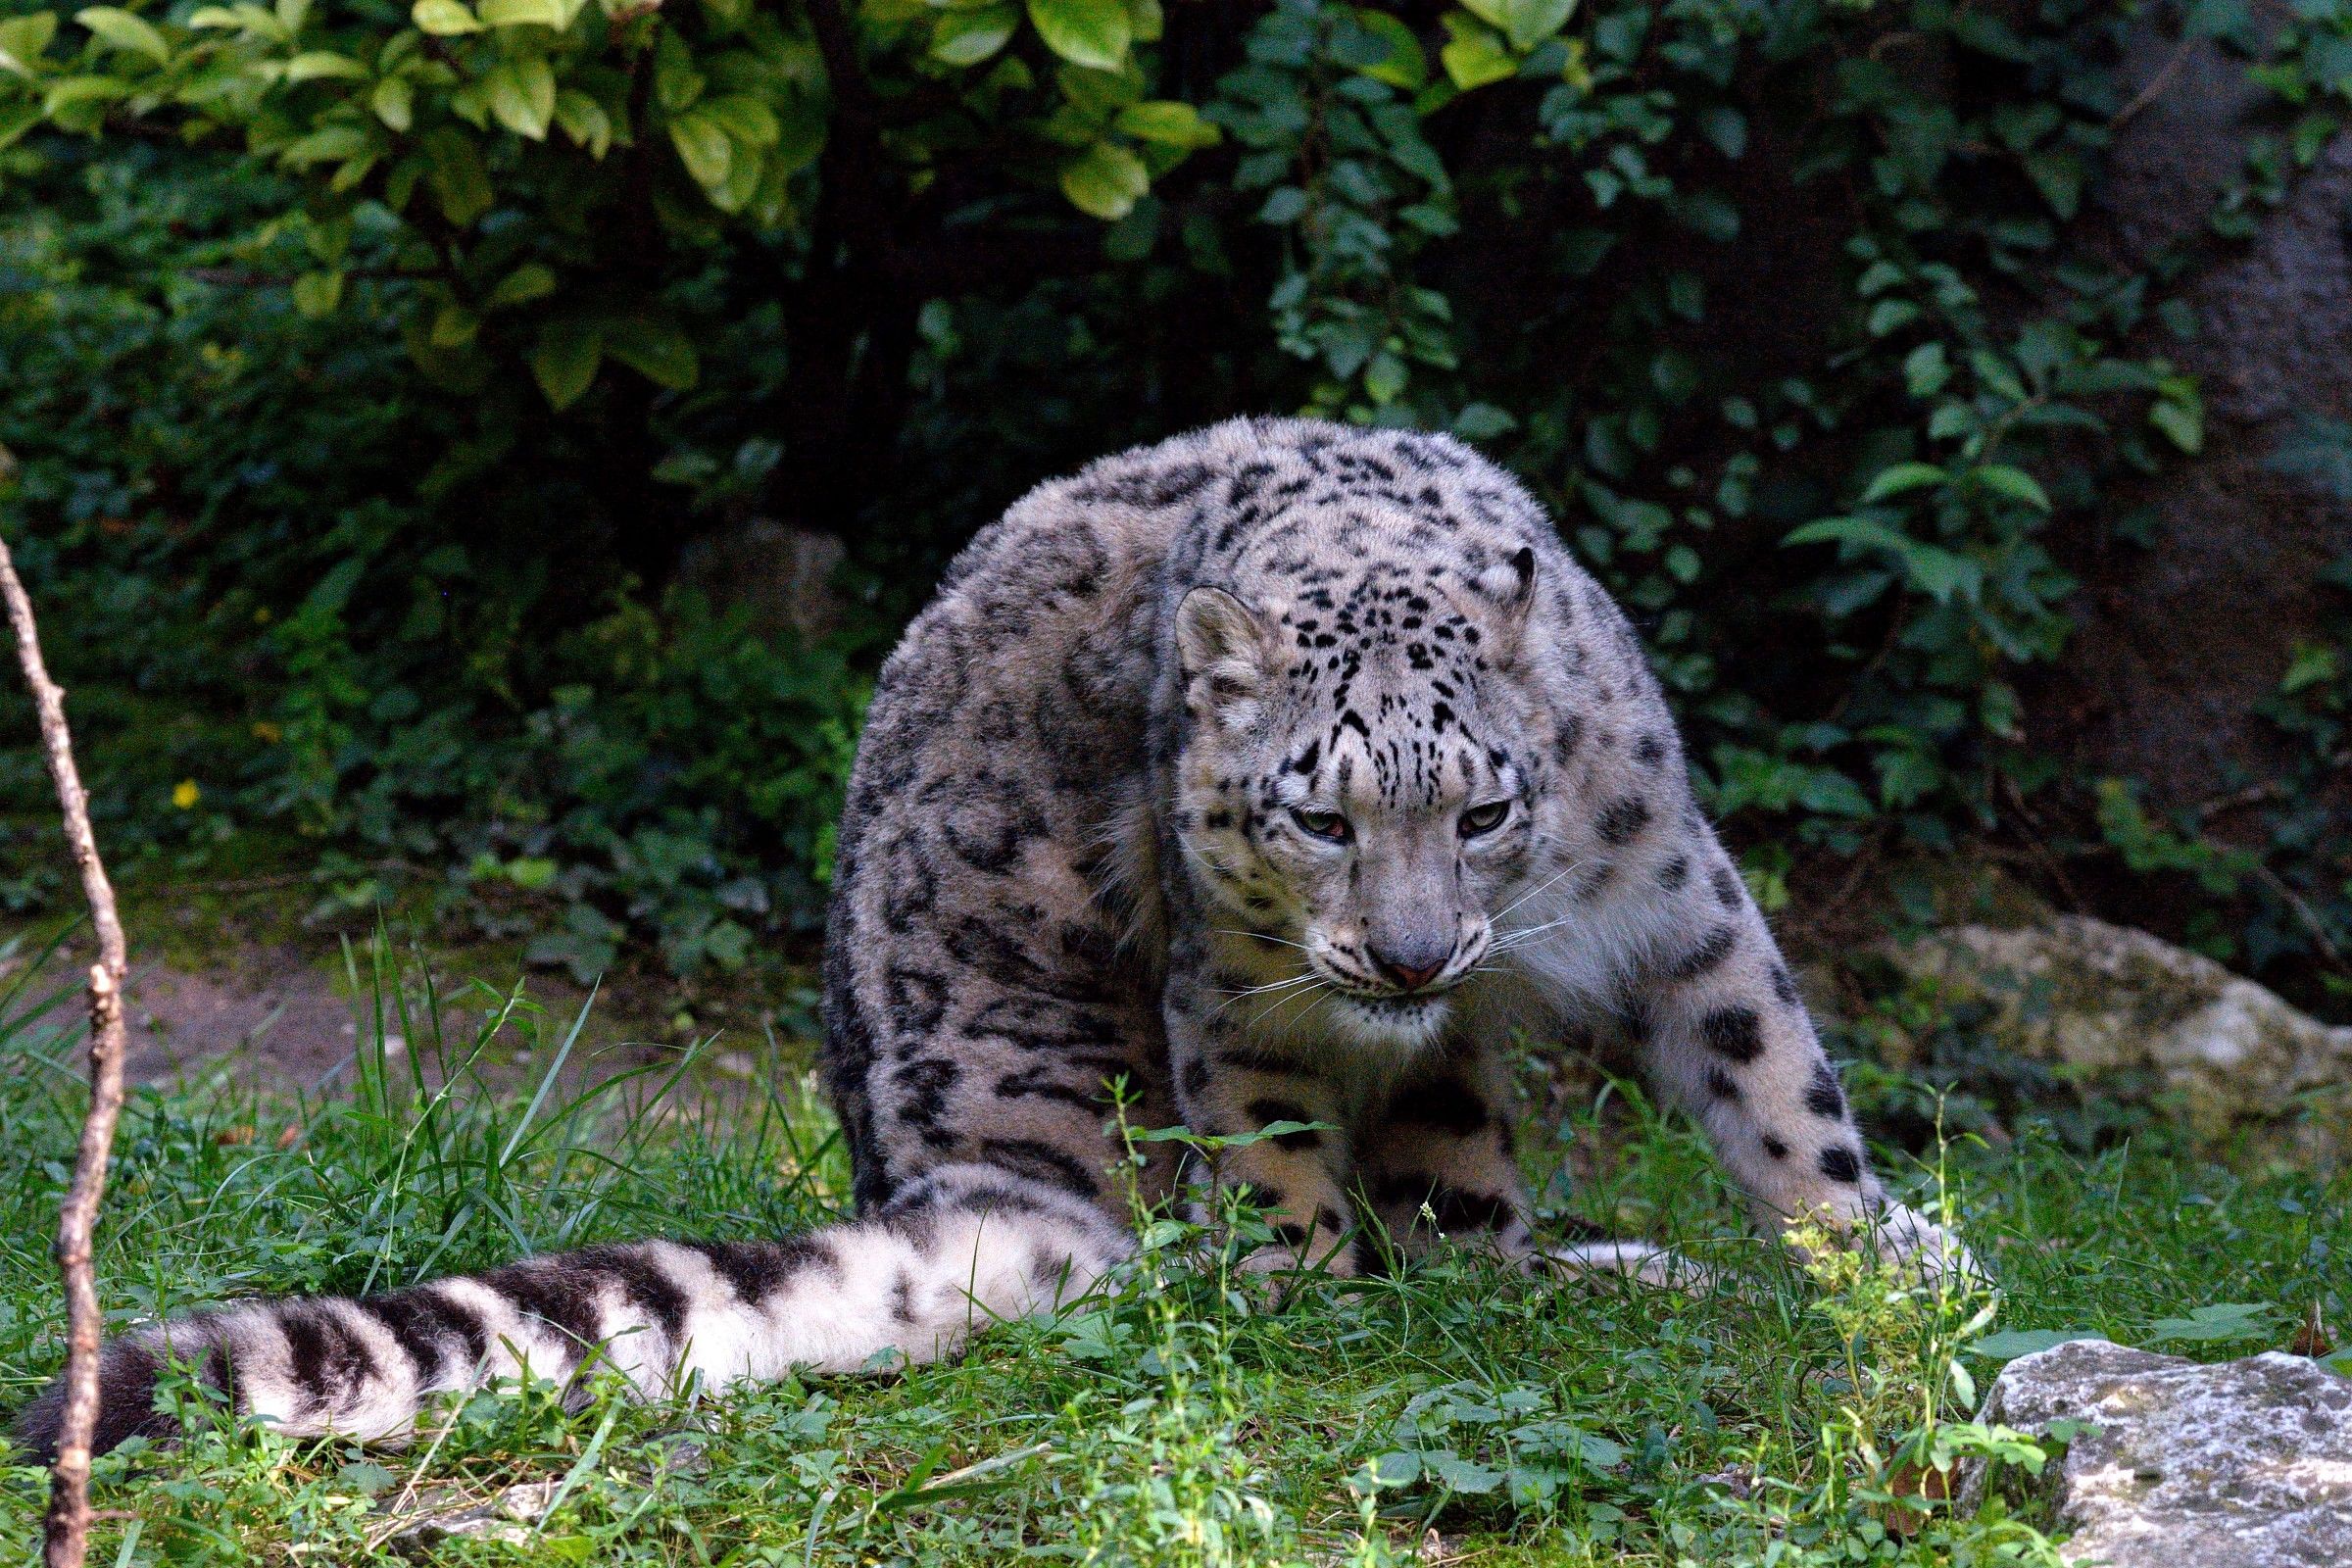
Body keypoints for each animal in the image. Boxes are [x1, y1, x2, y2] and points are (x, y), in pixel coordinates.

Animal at [16, 416, 1957, 1461]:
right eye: (1317, 816)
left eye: (1482, 810)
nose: (1410, 961)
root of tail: (973, 1171)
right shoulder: (1235, 997)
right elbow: (1288, 1180)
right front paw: (1318, 1297)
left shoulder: (1674, 892)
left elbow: (1773, 1076)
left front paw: (1891, 1265)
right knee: (1360, 1238)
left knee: (1473, 1219)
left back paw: (1621, 1263)